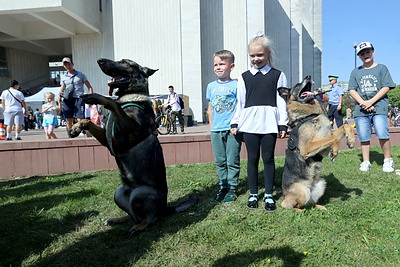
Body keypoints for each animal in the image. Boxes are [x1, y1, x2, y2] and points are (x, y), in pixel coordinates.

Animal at [71, 58, 198, 237]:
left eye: (125, 62)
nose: (100, 61)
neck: (131, 98)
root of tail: (166, 209)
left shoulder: (129, 133)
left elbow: (112, 102)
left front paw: (96, 97)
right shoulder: (110, 140)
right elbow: (89, 121)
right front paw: (77, 126)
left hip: (139, 194)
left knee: (151, 219)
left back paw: (140, 226)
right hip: (118, 193)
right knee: (133, 215)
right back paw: (119, 220)